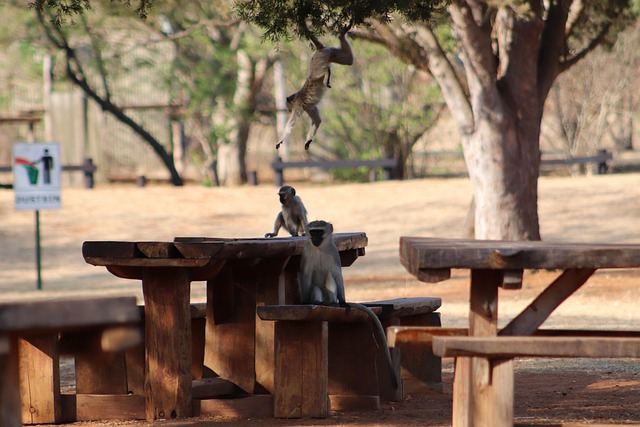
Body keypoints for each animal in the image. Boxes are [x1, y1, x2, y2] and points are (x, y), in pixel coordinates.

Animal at [298, 220, 398, 389]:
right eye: (312, 232)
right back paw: (318, 301)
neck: (319, 248)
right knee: (316, 288)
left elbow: (337, 274)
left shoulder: (333, 252)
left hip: (329, 292)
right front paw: (305, 301)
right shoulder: (307, 253)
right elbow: (306, 276)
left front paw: (343, 301)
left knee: (329, 276)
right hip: (318, 291)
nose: (315, 239)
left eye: (319, 232)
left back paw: (333, 303)